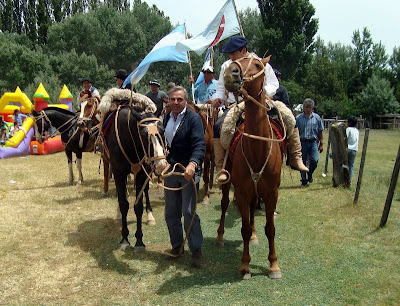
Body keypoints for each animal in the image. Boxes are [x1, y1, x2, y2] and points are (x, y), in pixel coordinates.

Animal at [216, 54, 284, 280]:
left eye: (257, 64)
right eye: (232, 63)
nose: (231, 74)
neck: (257, 150)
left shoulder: (271, 193)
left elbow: (270, 228)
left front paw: (273, 265)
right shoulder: (242, 191)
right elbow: (244, 228)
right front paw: (245, 265)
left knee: (255, 209)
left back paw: (255, 236)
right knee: (225, 204)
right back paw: (220, 236)